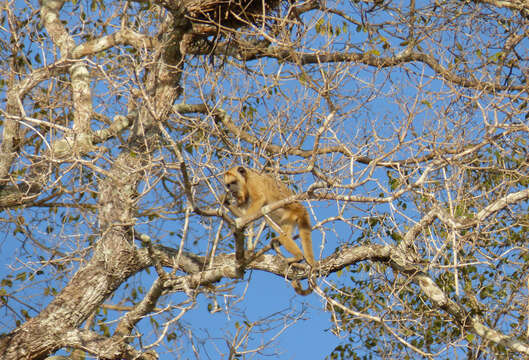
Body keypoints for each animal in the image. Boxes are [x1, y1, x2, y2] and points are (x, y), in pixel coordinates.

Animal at [222, 166, 314, 296]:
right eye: (228, 185)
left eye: (234, 182)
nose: (232, 191)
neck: (246, 176)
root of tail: (301, 208)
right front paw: (225, 201)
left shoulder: (253, 182)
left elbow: (260, 199)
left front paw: (239, 223)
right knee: (273, 223)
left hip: (292, 213)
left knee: (282, 233)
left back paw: (298, 256)